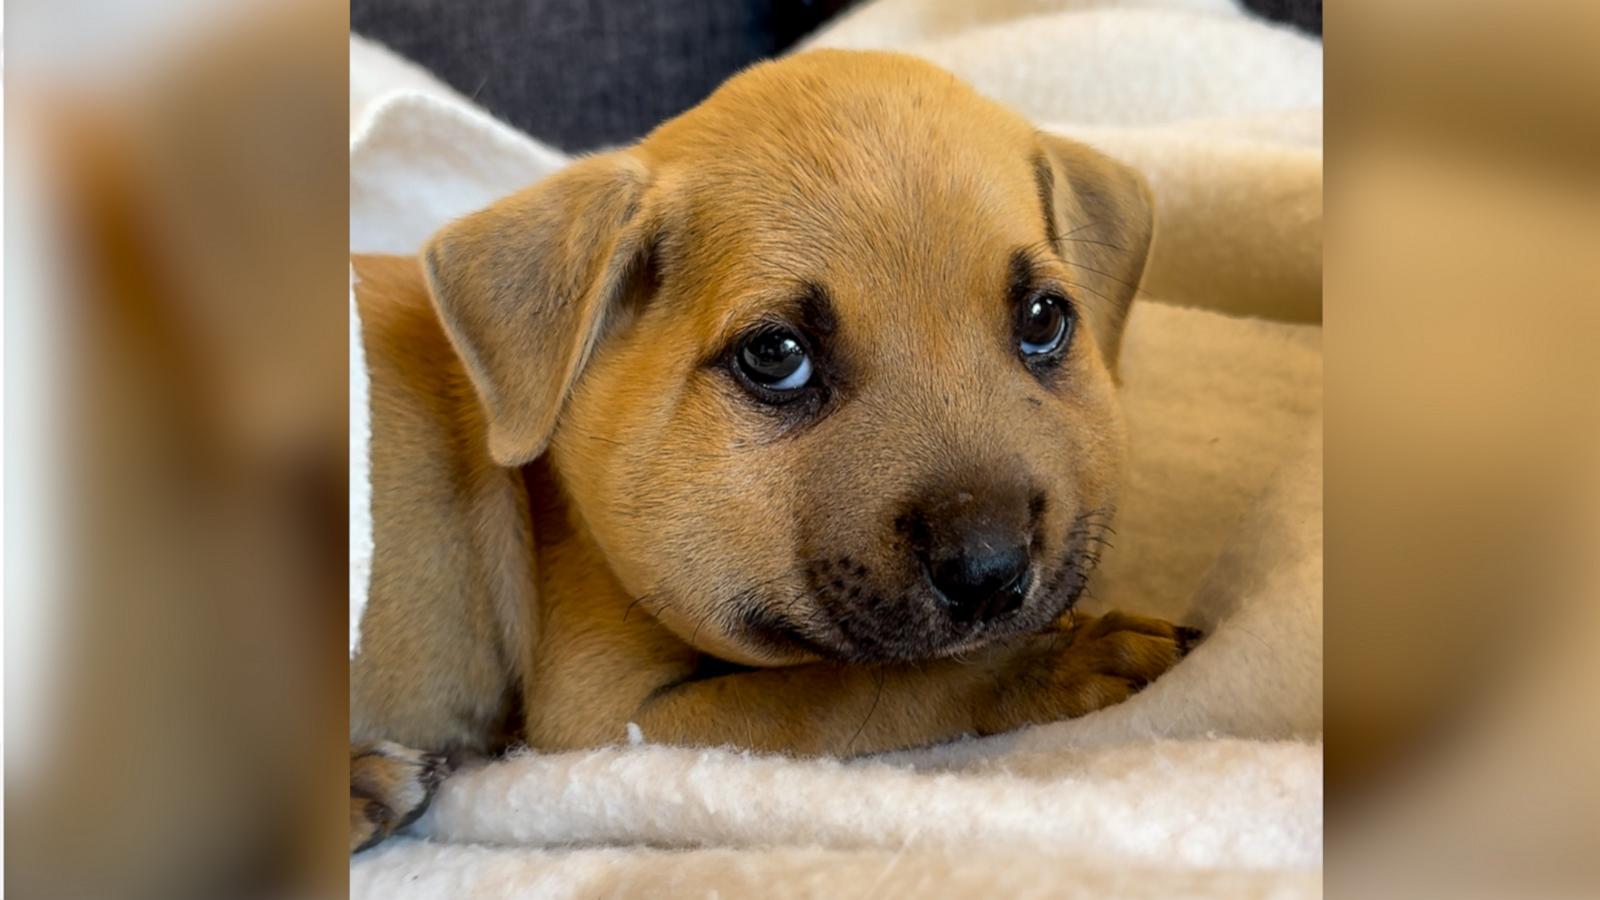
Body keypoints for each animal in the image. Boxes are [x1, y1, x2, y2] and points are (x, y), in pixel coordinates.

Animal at [353, 47, 1203, 845]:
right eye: (775, 355)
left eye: (1043, 318)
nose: (991, 571)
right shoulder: (606, 721)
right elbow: (852, 688)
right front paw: (1052, 662)